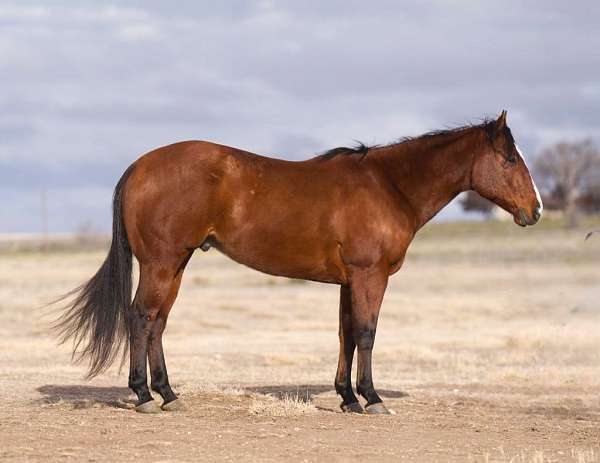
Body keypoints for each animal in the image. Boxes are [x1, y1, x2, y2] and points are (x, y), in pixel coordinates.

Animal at [57, 110, 544, 416]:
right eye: (509, 158)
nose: (535, 210)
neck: (389, 185)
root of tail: (139, 166)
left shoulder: (350, 281)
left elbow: (346, 334)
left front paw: (348, 397)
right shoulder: (370, 276)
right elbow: (366, 333)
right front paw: (372, 398)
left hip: (175, 266)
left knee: (157, 322)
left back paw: (168, 394)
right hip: (161, 264)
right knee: (141, 318)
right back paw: (142, 395)